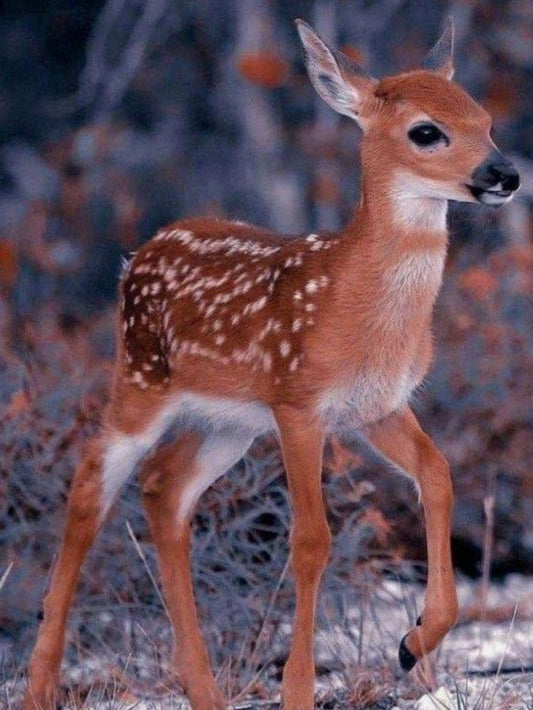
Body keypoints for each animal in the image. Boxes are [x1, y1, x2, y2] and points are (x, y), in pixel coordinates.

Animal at [24, 17, 520, 710]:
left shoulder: (377, 406)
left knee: (164, 487)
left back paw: (202, 688)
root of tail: (136, 256)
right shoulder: (298, 402)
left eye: (486, 120)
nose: (505, 174)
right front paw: (299, 689)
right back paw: (41, 683)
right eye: (427, 131)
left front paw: (413, 640)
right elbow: (311, 539)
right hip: (141, 381)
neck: (355, 302)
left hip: (227, 423)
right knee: (91, 484)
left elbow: (440, 475)